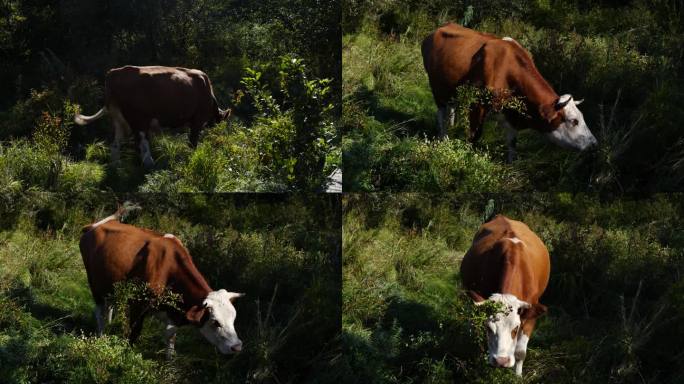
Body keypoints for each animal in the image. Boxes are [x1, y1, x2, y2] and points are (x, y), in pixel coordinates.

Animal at [74, 66, 231, 168]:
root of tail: (114, 73)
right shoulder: (197, 120)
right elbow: (193, 140)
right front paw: (192, 154)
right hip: (138, 117)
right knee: (142, 139)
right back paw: (149, 162)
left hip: (118, 118)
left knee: (116, 142)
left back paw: (115, 164)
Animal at [79, 207, 244, 356]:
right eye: (215, 322)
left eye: (234, 318)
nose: (237, 347)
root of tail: (94, 225)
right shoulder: (138, 305)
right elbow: (134, 333)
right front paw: (126, 356)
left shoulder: (174, 315)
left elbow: (170, 340)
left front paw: (169, 363)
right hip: (94, 283)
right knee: (99, 311)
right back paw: (101, 335)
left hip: (110, 283)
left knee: (109, 306)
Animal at [420, 23, 596, 162]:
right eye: (574, 121)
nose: (594, 144)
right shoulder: (477, 105)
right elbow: (474, 135)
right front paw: (468, 156)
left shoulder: (512, 114)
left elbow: (512, 142)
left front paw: (511, 164)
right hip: (437, 87)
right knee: (441, 113)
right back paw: (443, 137)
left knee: (450, 108)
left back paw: (452, 125)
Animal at [460, 214, 552, 376]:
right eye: (489, 328)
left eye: (515, 329)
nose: (501, 361)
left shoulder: (530, 316)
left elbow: (520, 353)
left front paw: (517, 376)